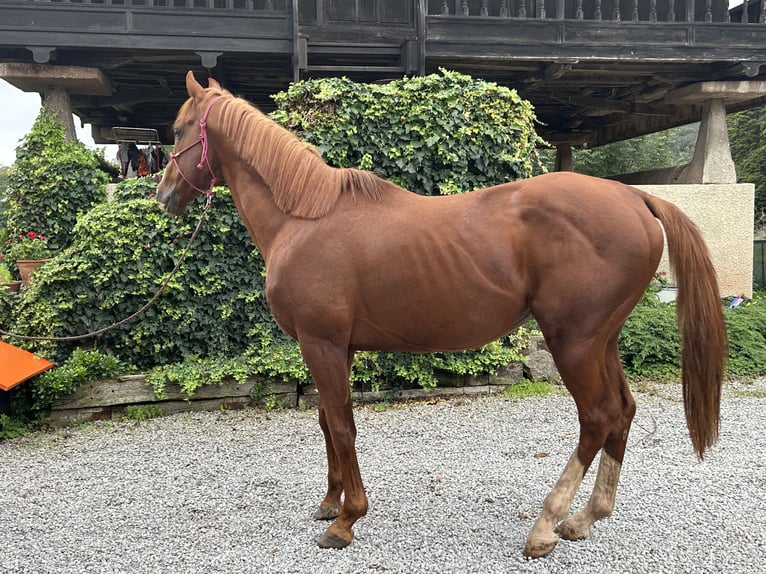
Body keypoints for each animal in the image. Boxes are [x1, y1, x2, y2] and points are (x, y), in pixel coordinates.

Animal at [154, 73, 728, 564]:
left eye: (178, 130)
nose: (163, 198)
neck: (305, 219)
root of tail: (636, 196)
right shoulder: (330, 348)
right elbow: (326, 421)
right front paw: (330, 501)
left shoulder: (322, 343)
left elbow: (340, 424)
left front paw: (345, 520)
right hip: (601, 340)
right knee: (623, 412)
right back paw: (585, 518)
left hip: (574, 343)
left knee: (599, 417)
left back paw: (545, 526)